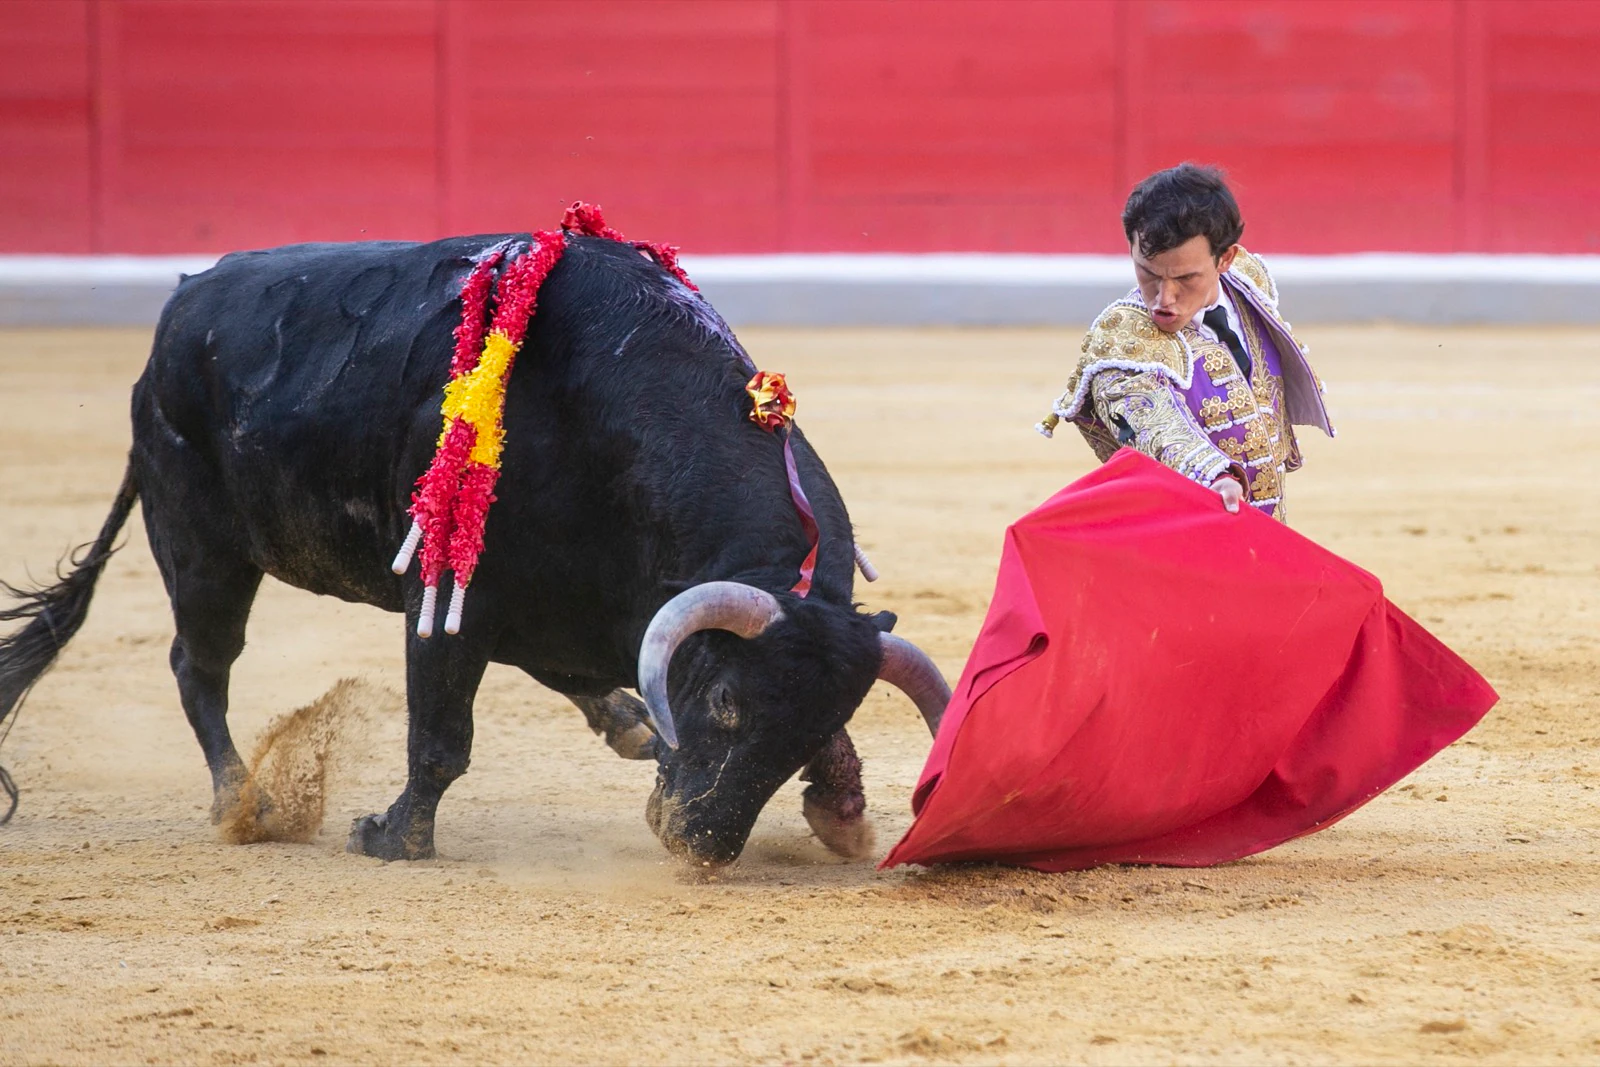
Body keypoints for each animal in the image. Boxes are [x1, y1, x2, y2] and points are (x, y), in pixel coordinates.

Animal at [0, 231, 947, 870]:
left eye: (818, 723)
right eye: (722, 699)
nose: (701, 840)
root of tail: (178, 309)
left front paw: (843, 812)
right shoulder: (450, 591)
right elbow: (441, 732)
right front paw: (391, 836)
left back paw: (627, 720)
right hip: (200, 547)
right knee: (199, 666)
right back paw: (246, 803)